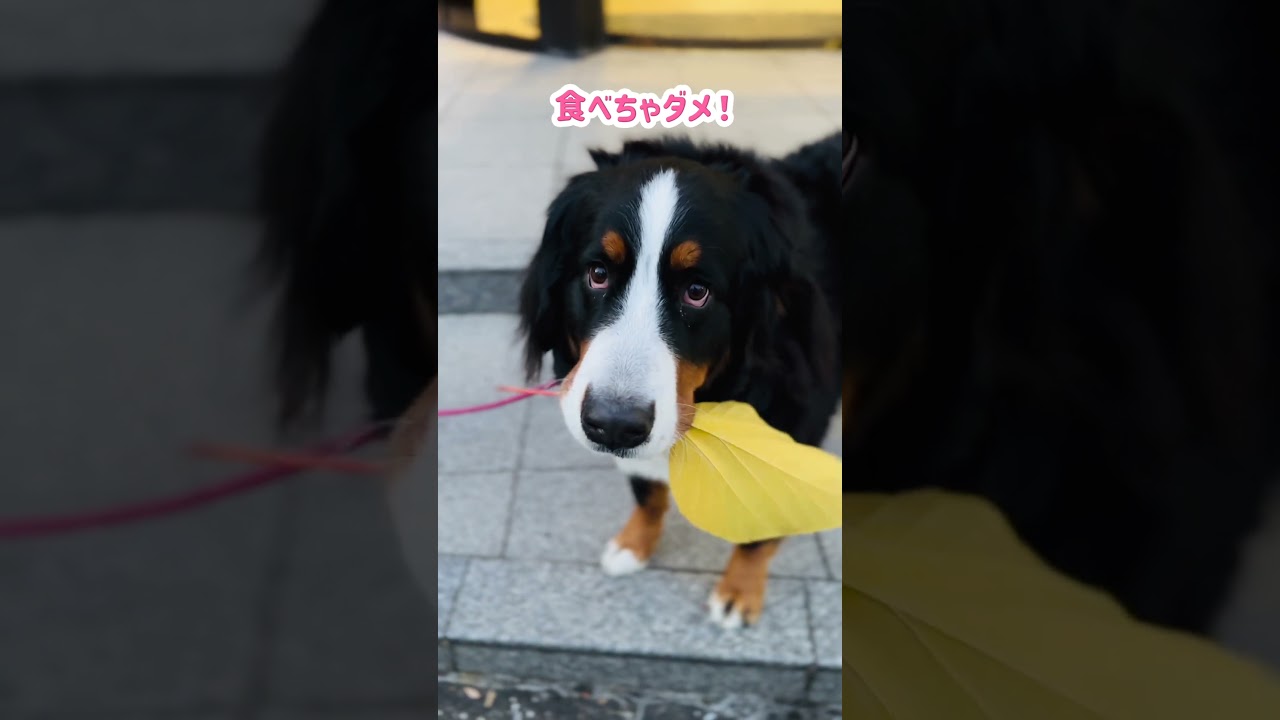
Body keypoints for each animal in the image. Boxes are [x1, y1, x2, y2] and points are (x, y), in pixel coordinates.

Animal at [517, 134, 843, 628]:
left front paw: (739, 592)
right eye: (598, 274)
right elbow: (646, 492)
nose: (614, 425)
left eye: (697, 291)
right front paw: (633, 545)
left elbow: (760, 534)